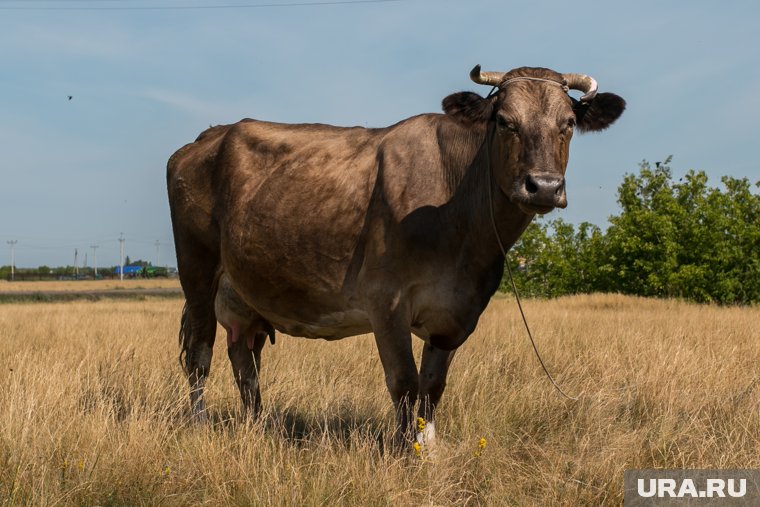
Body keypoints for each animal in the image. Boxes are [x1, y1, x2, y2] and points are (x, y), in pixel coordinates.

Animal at [166, 65, 624, 450]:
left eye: (568, 124)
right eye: (505, 122)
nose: (543, 186)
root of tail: (208, 136)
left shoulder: (458, 312)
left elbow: (433, 385)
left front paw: (429, 449)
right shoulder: (386, 300)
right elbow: (404, 382)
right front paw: (405, 452)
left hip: (246, 293)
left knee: (245, 361)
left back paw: (258, 426)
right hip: (197, 272)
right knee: (200, 354)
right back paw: (200, 424)